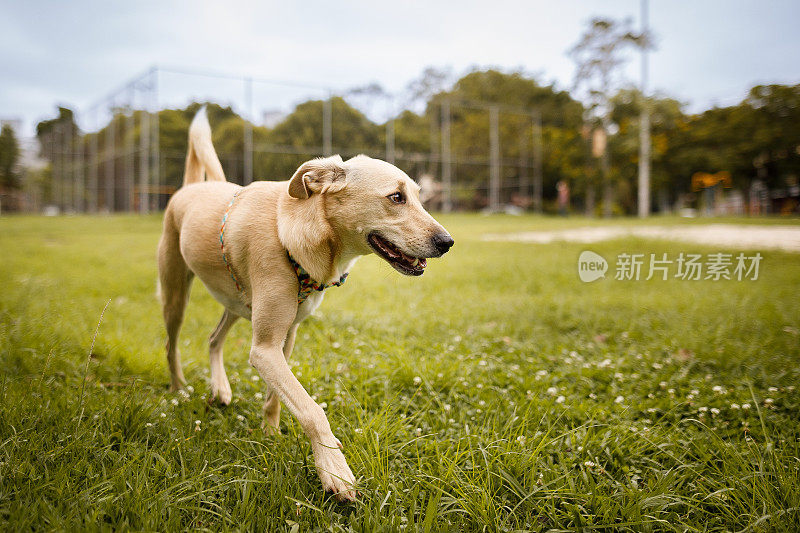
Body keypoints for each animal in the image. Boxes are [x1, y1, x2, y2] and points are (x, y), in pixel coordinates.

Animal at [159, 108, 454, 498]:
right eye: (396, 197)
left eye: (420, 197)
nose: (447, 242)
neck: (291, 233)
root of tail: (191, 187)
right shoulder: (265, 349)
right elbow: (313, 410)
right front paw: (334, 469)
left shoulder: (285, 337)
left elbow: (277, 399)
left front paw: (270, 434)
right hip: (176, 294)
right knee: (171, 345)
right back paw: (178, 389)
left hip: (238, 302)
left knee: (213, 338)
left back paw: (220, 388)